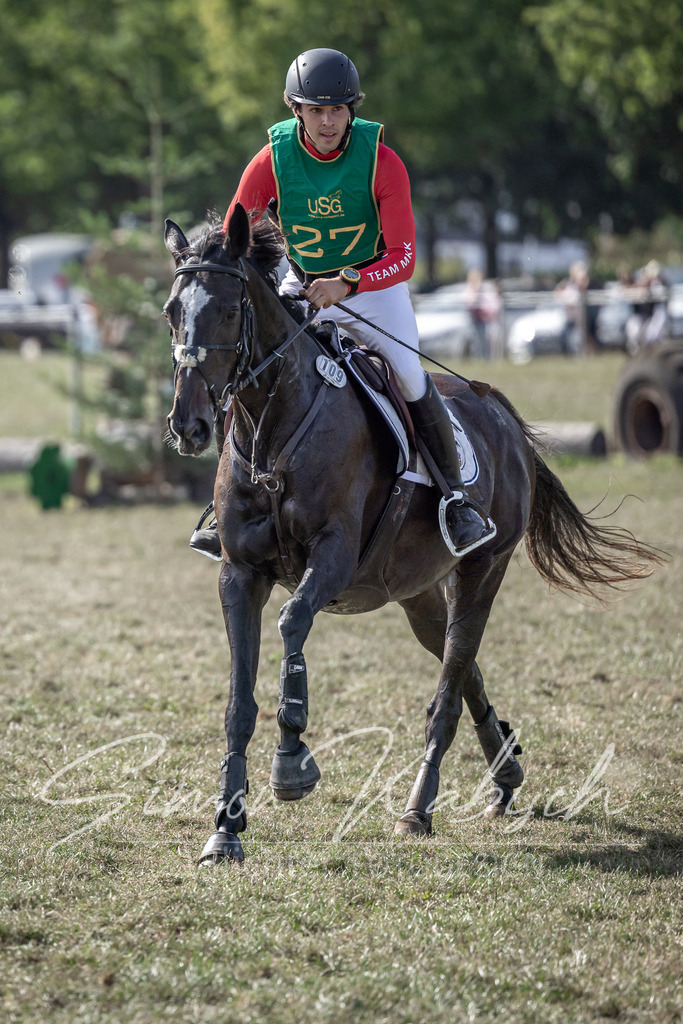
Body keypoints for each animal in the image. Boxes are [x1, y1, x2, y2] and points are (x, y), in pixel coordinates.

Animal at [163, 204, 662, 865]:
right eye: (172, 310)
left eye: (226, 309)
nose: (188, 425)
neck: (275, 431)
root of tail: (501, 415)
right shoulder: (240, 575)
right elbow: (237, 703)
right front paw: (225, 829)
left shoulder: (332, 557)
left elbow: (293, 623)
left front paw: (292, 760)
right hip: (417, 591)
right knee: (462, 662)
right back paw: (505, 774)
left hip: (482, 570)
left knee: (449, 688)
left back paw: (418, 810)